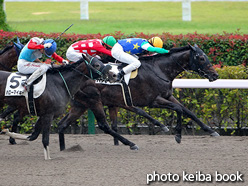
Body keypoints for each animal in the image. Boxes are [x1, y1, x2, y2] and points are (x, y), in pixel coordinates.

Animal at [0, 54, 139, 159]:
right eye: (97, 65)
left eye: (101, 62)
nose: (115, 75)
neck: (59, 83)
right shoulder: (48, 115)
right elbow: (45, 139)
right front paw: (48, 158)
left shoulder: (46, 115)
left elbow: (32, 136)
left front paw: (7, 132)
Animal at [58, 43, 219, 150]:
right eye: (201, 58)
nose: (215, 75)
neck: (159, 69)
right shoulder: (153, 100)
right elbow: (178, 109)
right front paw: (177, 136)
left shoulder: (167, 96)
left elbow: (188, 111)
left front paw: (211, 131)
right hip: (93, 100)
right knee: (104, 125)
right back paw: (131, 144)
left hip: (81, 105)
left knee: (62, 124)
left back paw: (63, 148)